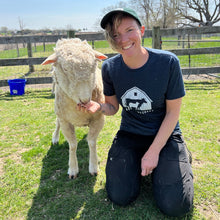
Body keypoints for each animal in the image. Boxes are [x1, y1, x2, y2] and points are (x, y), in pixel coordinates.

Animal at [41, 37, 107, 179]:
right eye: (65, 69)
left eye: (94, 67)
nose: (85, 100)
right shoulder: (65, 121)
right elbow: (72, 145)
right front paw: (73, 169)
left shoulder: (98, 118)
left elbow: (91, 142)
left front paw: (93, 167)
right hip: (58, 112)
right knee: (57, 123)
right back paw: (55, 138)